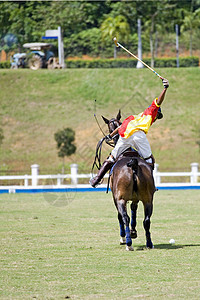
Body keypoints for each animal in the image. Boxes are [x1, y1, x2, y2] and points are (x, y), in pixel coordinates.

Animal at [102, 111, 157, 250]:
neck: (126, 152)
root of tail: (134, 165)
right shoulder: (136, 198)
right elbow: (134, 209)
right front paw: (133, 232)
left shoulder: (115, 197)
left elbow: (120, 216)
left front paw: (125, 236)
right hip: (148, 199)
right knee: (146, 220)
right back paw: (149, 243)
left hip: (121, 198)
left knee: (124, 217)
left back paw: (127, 242)